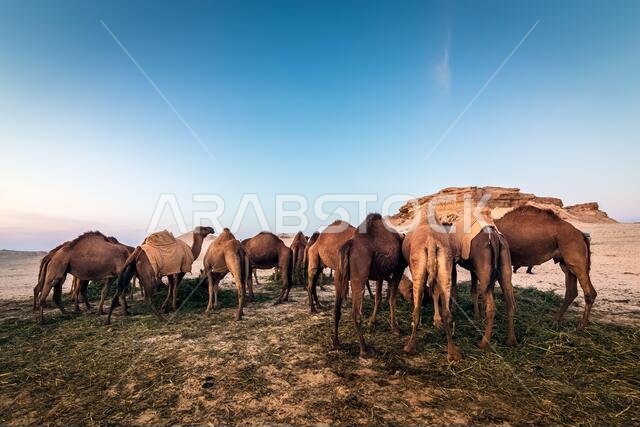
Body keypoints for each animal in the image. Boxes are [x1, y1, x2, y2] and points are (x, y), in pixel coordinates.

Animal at [334, 213, 406, 358]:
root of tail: (349, 244)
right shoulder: (399, 269)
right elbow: (392, 298)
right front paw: (395, 328)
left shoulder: (380, 274)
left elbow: (378, 297)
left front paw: (372, 321)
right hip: (358, 278)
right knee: (355, 313)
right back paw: (363, 349)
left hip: (339, 276)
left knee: (336, 310)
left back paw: (336, 343)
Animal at [401, 224, 461, 361]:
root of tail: (431, 241)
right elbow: (434, 292)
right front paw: (436, 321)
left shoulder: (413, 268)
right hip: (445, 265)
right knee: (446, 310)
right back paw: (453, 353)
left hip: (418, 265)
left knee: (416, 309)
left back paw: (409, 347)